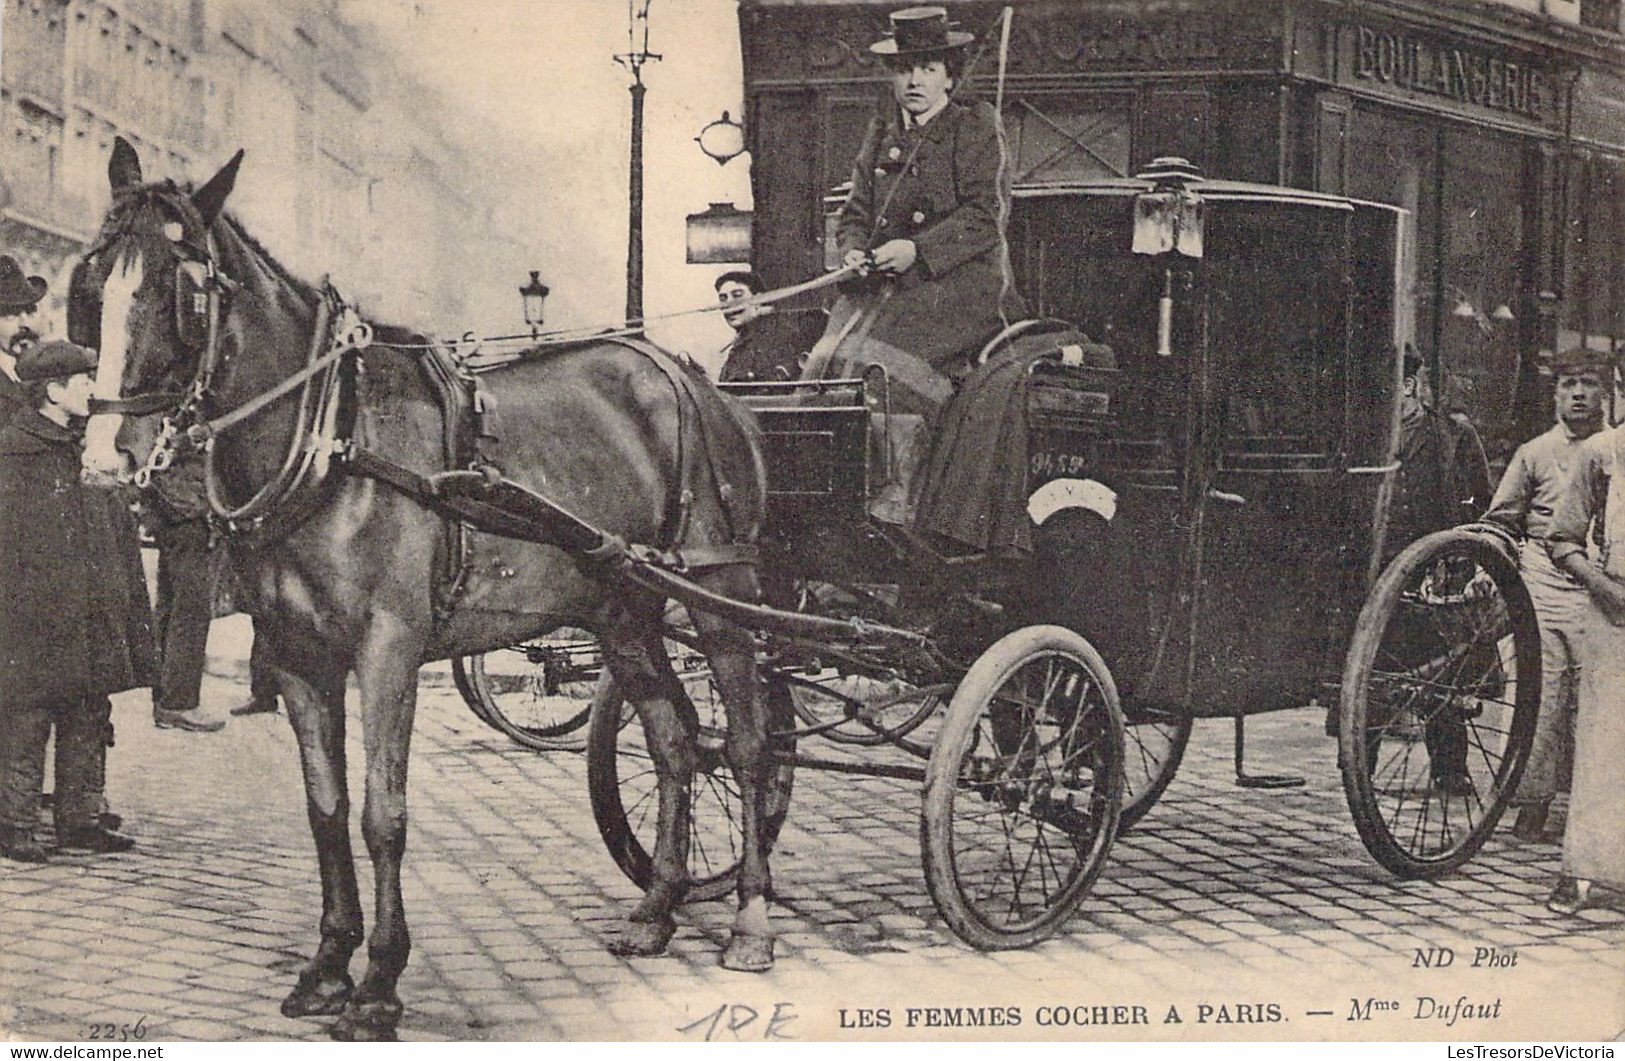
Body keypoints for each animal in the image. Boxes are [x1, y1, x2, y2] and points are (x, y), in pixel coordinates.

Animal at [76, 136, 780, 1039]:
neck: (334, 438)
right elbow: (327, 807)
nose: (109, 457)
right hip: (620, 609)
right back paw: (655, 912)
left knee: (749, 743)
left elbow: (383, 813)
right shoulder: (299, 655)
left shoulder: (388, 650)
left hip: (718, 592)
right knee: (675, 742)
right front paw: (327, 965)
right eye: (94, 280)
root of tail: (695, 381)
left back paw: (750, 920)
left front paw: (379, 980)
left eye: (186, 290)